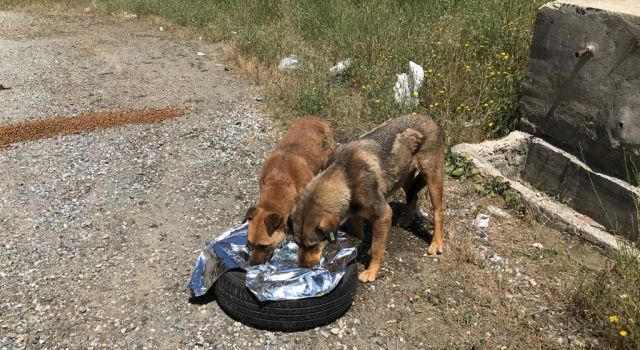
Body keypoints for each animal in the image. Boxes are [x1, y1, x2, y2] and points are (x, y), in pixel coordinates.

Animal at [290, 114, 444, 282]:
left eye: (312, 245)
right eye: (297, 243)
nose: (302, 267)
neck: (344, 176)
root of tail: (430, 119)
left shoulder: (383, 216)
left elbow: (376, 248)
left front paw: (371, 272)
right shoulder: (355, 215)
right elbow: (358, 235)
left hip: (432, 177)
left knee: (438, 212)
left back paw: (436, 243)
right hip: (403, 176)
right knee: (413, 196)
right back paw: (407, 219)